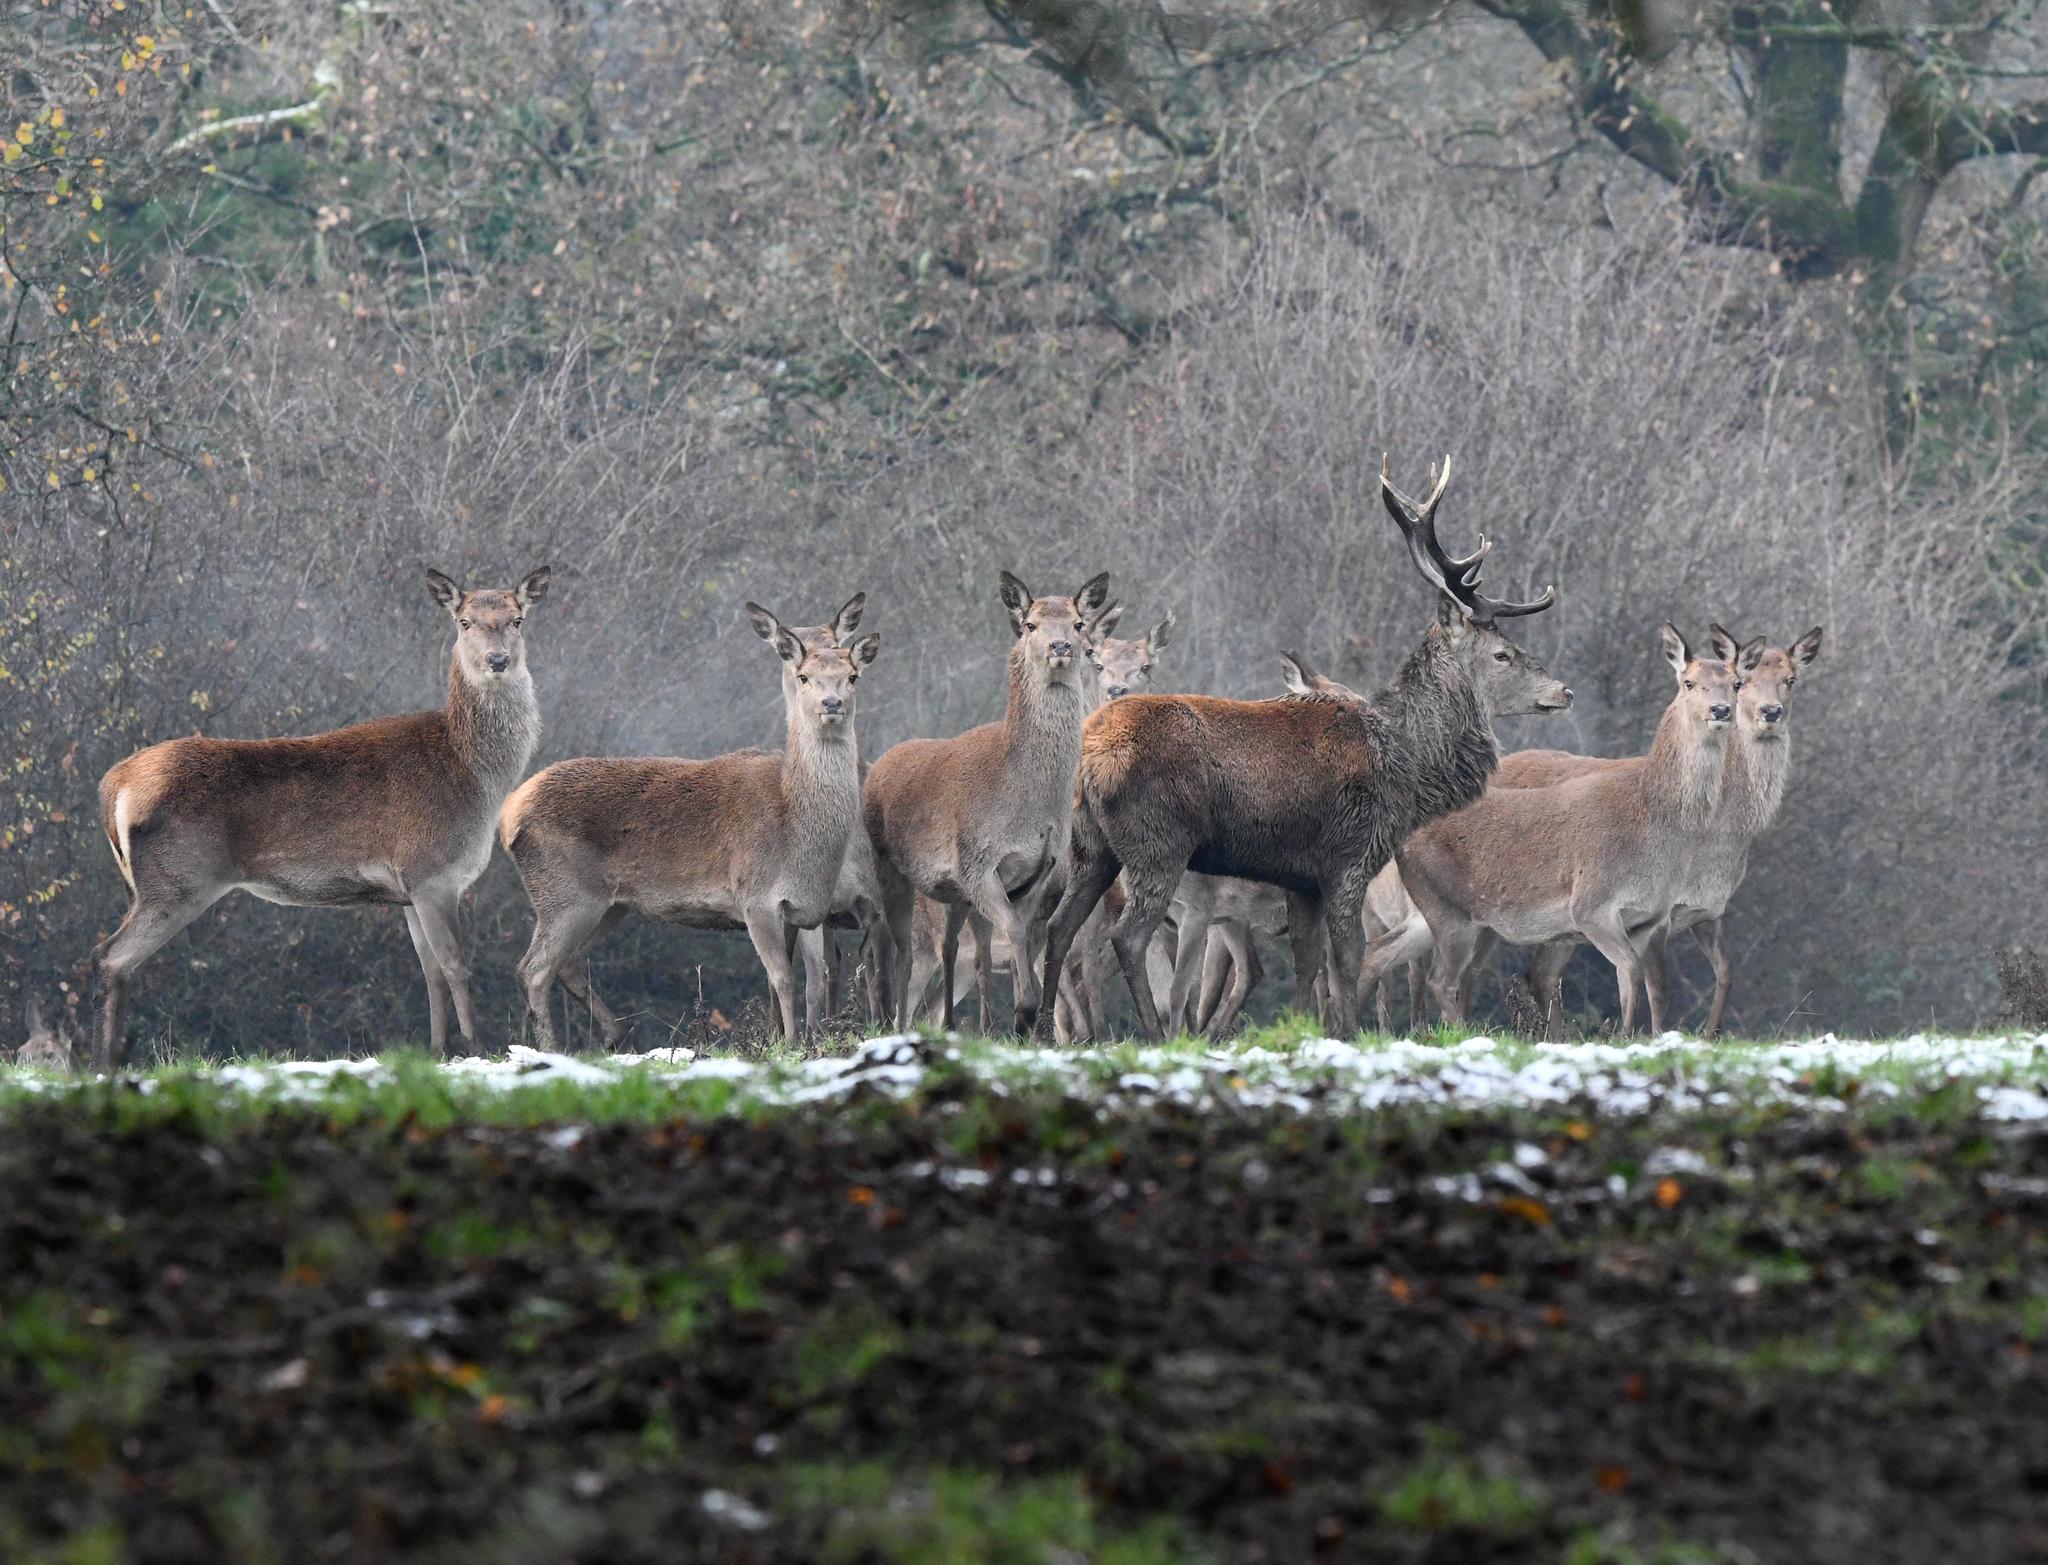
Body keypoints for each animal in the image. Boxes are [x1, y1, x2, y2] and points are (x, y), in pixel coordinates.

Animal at [92, 565, 551, 1069]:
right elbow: (455, 965)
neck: (475, 776)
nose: (497, 660)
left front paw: (436, 1051)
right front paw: (476, 1048)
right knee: (111, 955)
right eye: (464, 621)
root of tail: (114, 785)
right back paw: (105, 1061)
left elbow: (429, 971)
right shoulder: (433, 871)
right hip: (178, 880)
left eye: (517, 620)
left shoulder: (409, 890)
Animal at [500, 603, 883, 1048]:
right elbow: (783, 978)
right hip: (564, 893)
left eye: (852, 675)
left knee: (568, 963)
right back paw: (552, 1047)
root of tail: (508, 815)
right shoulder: (755, 896)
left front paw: (807, 1040)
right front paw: (787, 1044)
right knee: (533, 969)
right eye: (803, 674)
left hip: (608, 904)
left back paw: (615, 1034)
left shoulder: (806, 908)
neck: (797, 829)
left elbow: (813, 978)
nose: (831, 702)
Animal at [863, 570, 1110, 1034]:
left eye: (1078, 623)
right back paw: (898, 1024)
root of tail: (878, 765)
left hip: (953, 893)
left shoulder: (1037, 871)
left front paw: (1023, 1018)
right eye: (1030, 624)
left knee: (953, 947)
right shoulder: (978, 863)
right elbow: (1012, 930)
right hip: (890, 869)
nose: (1060, 647)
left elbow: (1022, 936)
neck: (1028, 807)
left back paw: (952, 1025)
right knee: (900, 951)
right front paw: (1024, 1013)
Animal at [1035, 454, 1568, 1041]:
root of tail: (1090, 757)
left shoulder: (1301, 877)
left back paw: (1038, 1030)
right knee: (1128, 936)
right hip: (1158, 841)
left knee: (1057, 928)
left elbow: (1309, 964)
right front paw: (1347, 1034)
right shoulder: (1348, 857)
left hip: (1090, 845)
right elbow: (1348, 959)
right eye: (1502, 654)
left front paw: (1306, 1030)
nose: (1563, 691)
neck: (1407, 767)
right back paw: (1153, 1034)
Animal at [1364, 624, 1738, 1036]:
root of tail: (1402, 837)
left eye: (1736, 683)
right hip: (1449, 912)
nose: (1721, 710)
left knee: (1377, 955)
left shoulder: (1648, 919)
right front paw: (1623, 1037)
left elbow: (1638, 984)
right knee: (1440, 979)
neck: (1652, 820)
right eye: (1689, 682)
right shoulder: (1592, 904)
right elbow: (1632, 971)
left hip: (1433, 914)